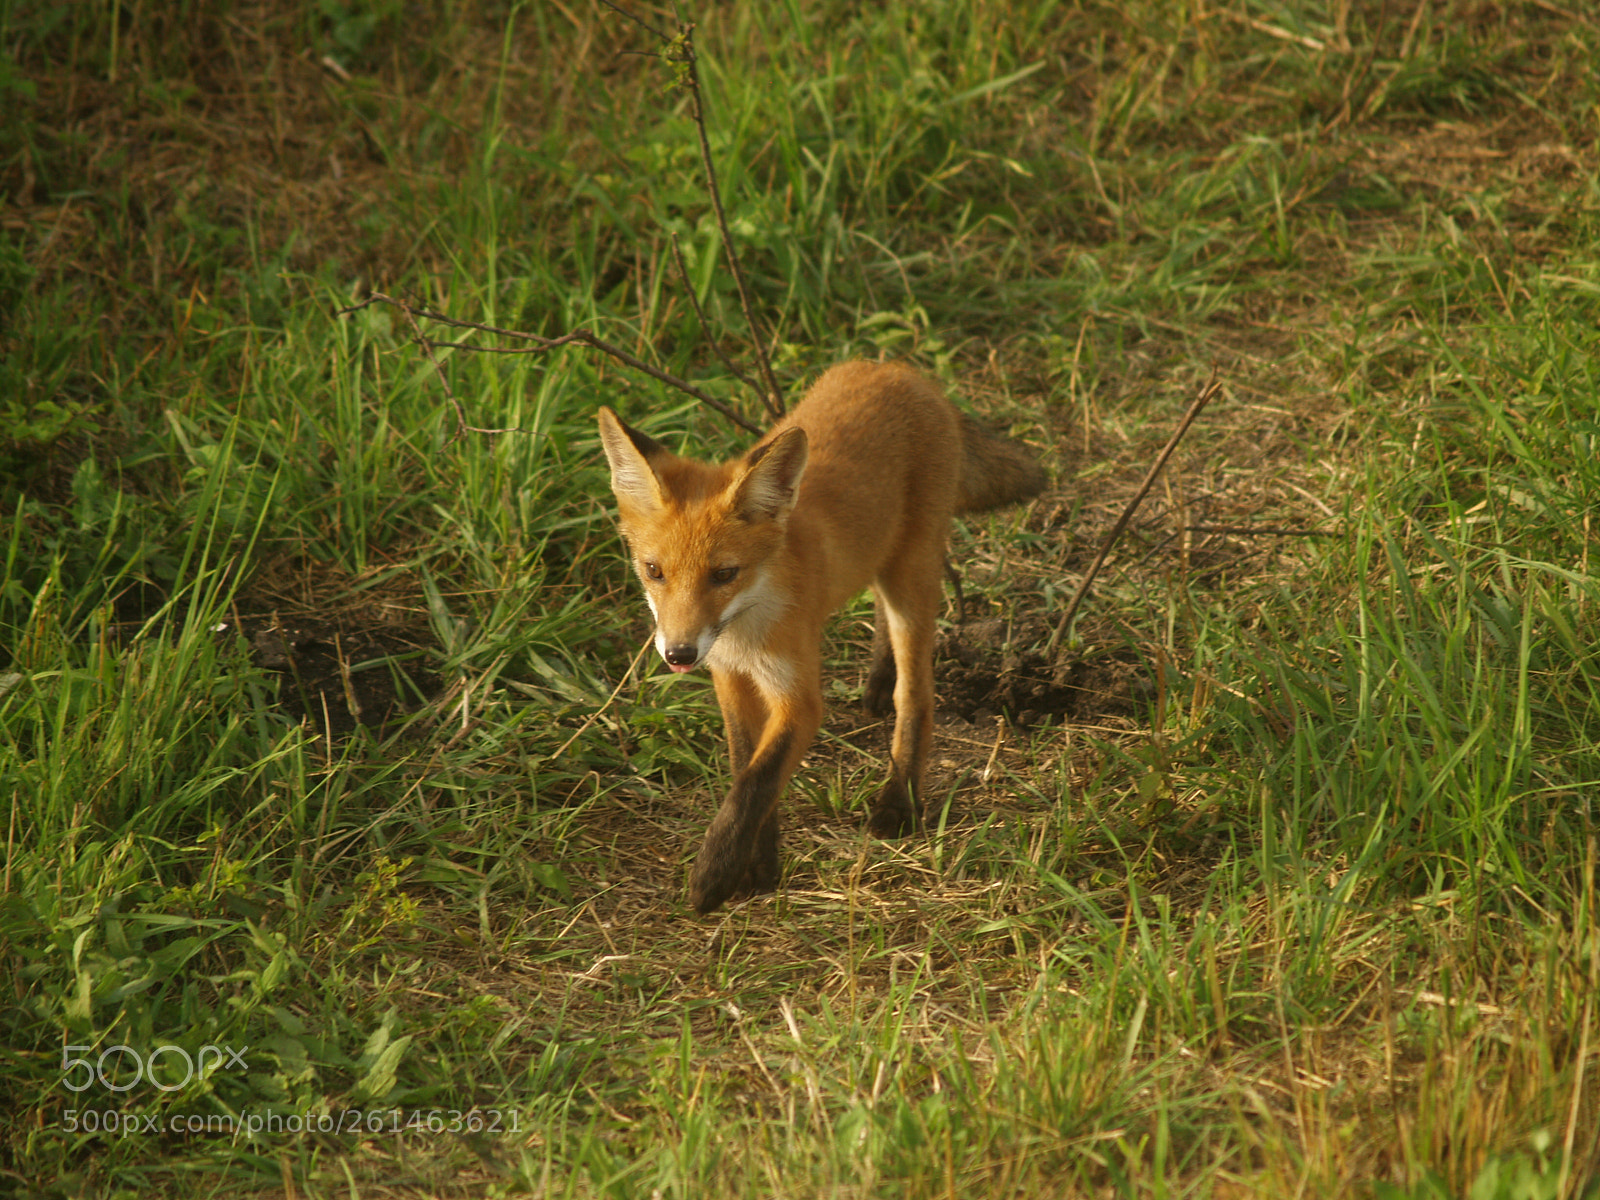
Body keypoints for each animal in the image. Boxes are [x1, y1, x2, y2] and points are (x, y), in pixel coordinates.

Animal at [598, 360, 1045, 915]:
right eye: (653, 571)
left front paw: (715, 875)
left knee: (917, 693)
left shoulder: (800, 696)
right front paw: (759, 861)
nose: (679, 654)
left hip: (912, 574)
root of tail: (899, 369)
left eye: (724, 575)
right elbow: (746, 766)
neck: (746, 631)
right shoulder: (729, 677)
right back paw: (879, 677)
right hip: (884, 561)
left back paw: (898, 799)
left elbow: (758, 779)